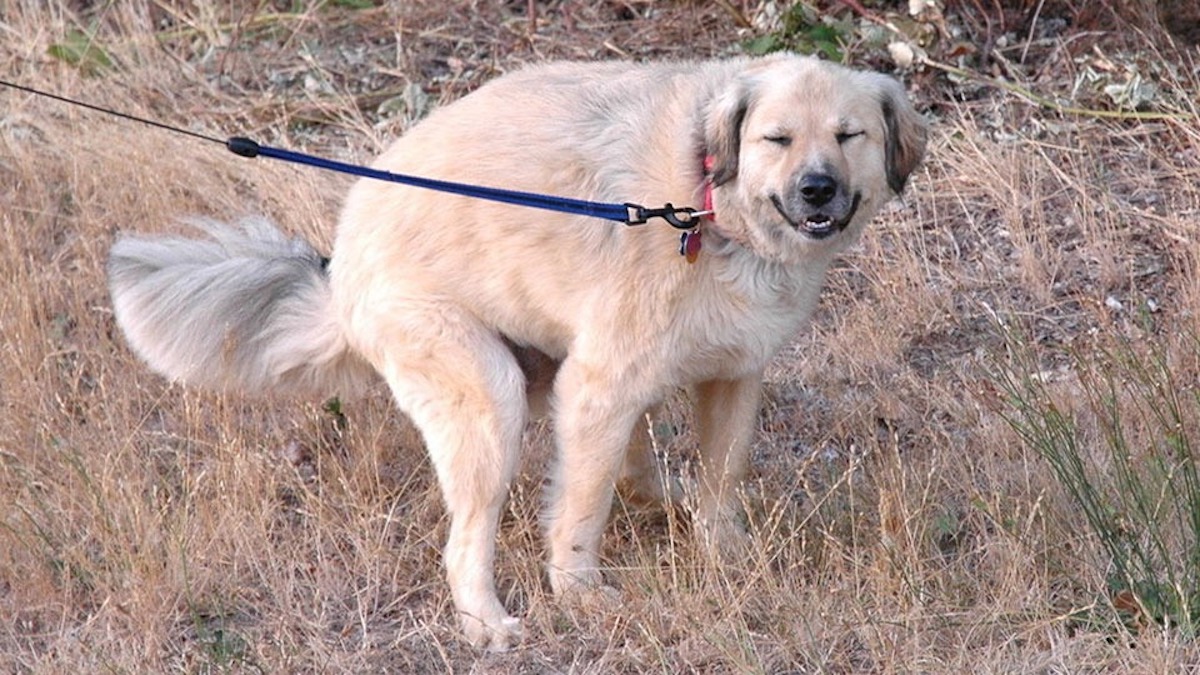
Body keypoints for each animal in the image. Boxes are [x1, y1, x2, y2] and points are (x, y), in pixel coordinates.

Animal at [105, 52, 926, 648]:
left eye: (848, 136)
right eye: (776, 139)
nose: (817, 190)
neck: (704, 201)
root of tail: (339, 271)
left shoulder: (732, 377)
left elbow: (719, 482)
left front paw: (723, 558)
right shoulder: (598, 386)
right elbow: (580, 510)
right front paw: (581, 596)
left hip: (549, 373)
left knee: (631, 466)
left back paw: (659, 500)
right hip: (490, 400)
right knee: (466, 541)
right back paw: (486, 625)